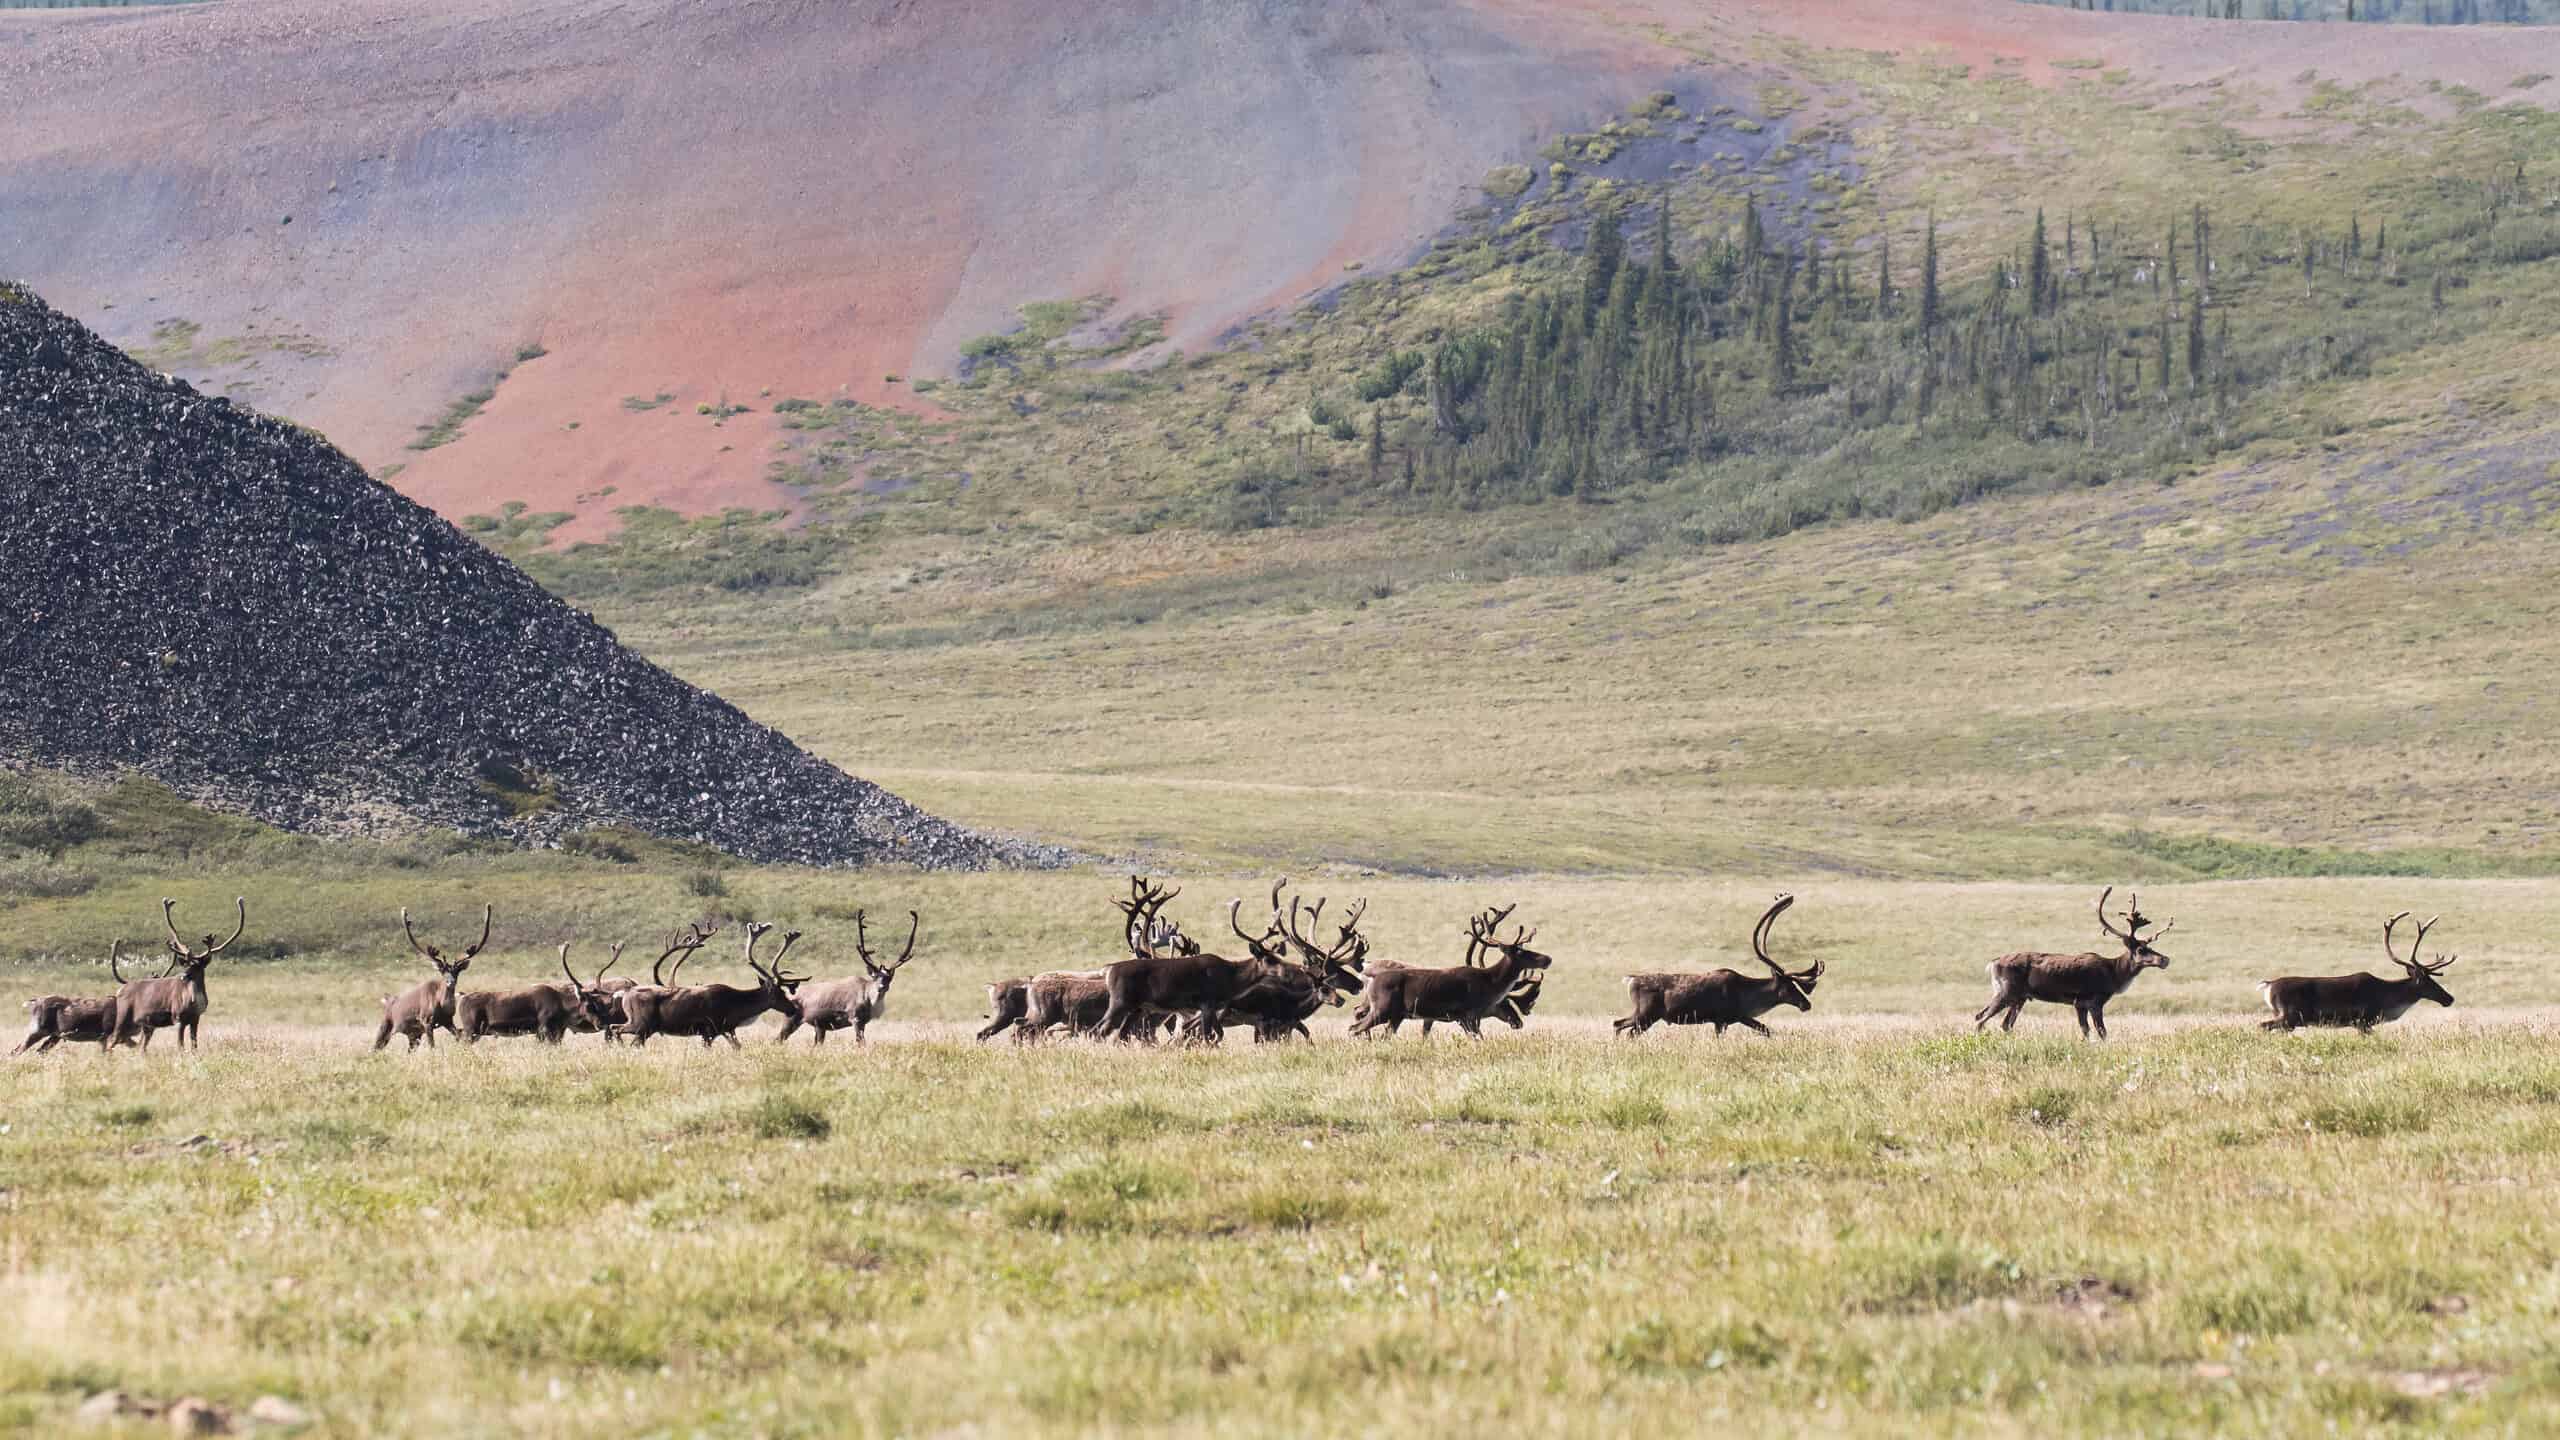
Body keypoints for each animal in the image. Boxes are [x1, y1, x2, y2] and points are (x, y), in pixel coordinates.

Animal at [2273, 907, 2447, 1030]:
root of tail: (2268, 985)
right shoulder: (2362, 1021)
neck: (2387, 998)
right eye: (2428, 981)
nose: (2449, 998)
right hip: (2289, 1016)